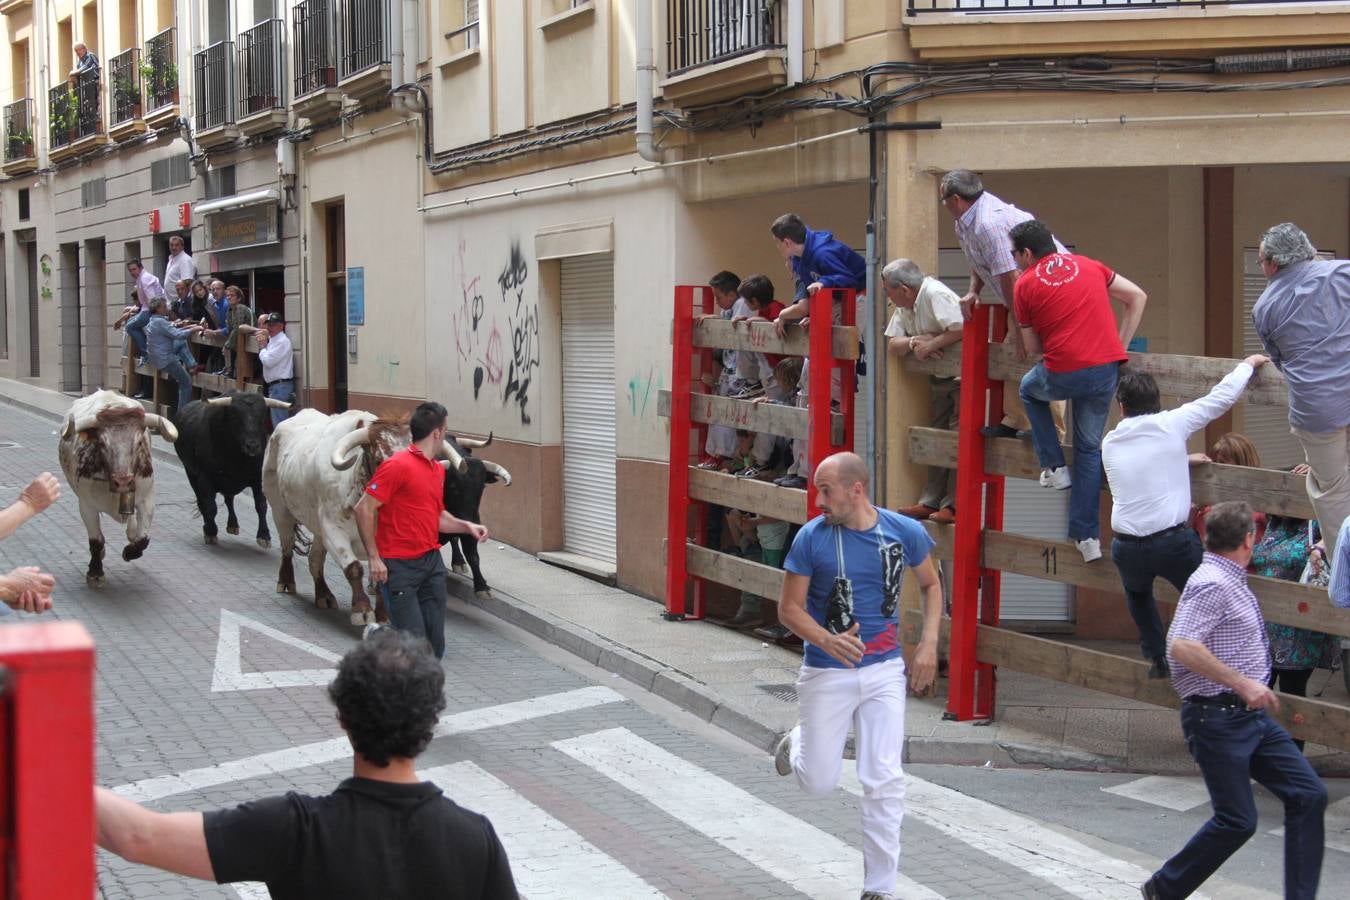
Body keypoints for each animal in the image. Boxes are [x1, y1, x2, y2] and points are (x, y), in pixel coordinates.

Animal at [57, 388, 179, 588]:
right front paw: (95, 572)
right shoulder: (87, 506)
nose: (123, 482)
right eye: (102, 443)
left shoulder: (147, 499)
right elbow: (96, 541)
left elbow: (142, 539)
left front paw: (130, 551)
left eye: (139, 443)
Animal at [172, 391, 291, 545]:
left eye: (262, 417)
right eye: (235, 417)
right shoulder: (205, 477)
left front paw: (264, 536)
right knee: (202, 501)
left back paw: (233, 524)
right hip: (191, 473)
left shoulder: (258, 478)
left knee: (229, 499)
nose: (253, 446)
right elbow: (210, 506)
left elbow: (261, 505)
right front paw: (210, 532)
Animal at [260, 410, 467, 626]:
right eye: (378, 460)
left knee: (315, 558)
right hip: (280, 508)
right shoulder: (334, 532)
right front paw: (362, 609)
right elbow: (354, 568)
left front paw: (383, 615)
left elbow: (383, 577)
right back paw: (286, 582)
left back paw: (324, 595)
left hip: (317, 529)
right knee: (286, 546)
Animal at [440, 434, 513, 599]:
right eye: (453, 486)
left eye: (482, 487)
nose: (470, 521)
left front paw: (482, 587)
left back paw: (458, 562)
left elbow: (473, 555)